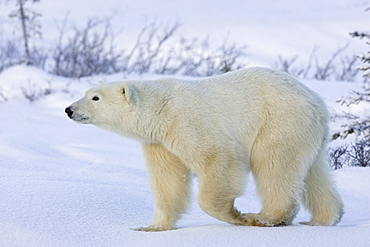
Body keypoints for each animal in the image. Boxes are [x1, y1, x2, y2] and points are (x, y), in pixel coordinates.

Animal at [64, 66, 344, 231]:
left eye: (95, 97)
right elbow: (168, 180)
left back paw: (263, 217)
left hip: (278, 122)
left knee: (274, 166)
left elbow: (219, 158)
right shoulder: (159, 142)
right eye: (86, 92)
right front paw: (152, 227)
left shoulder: (187, 121)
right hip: (306, 134)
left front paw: (234, 215)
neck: (160, 109)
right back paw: (324, 219)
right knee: (314, 173)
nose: (69, 109)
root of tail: (315, 101)